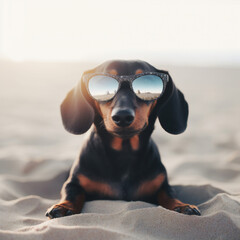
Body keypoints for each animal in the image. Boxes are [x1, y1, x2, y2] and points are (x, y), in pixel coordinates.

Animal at [45, 59, 201, 218]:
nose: (123, 116)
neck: (124, 152)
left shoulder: (163, 184)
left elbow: (169, 193)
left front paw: (181, 205)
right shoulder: (73, 183)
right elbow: (71, 192)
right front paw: (63, 206)